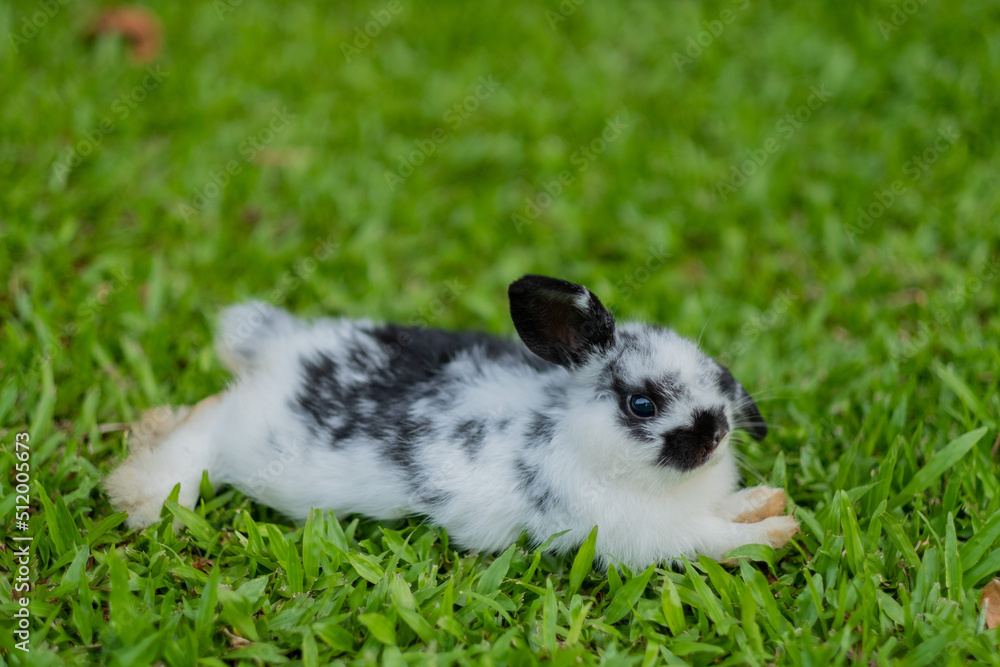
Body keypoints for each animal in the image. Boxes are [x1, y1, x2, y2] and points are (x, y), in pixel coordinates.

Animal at [105, 274, 796, 572]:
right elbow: (713, 540)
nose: (715, 434)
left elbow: (725, 513)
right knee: (204, 429)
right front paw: (779, 532)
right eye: (642, 405)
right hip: (250, 445)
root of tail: (281, 349)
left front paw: (767, 502)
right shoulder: (646, 537)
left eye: (718, 377)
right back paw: (145, 496)